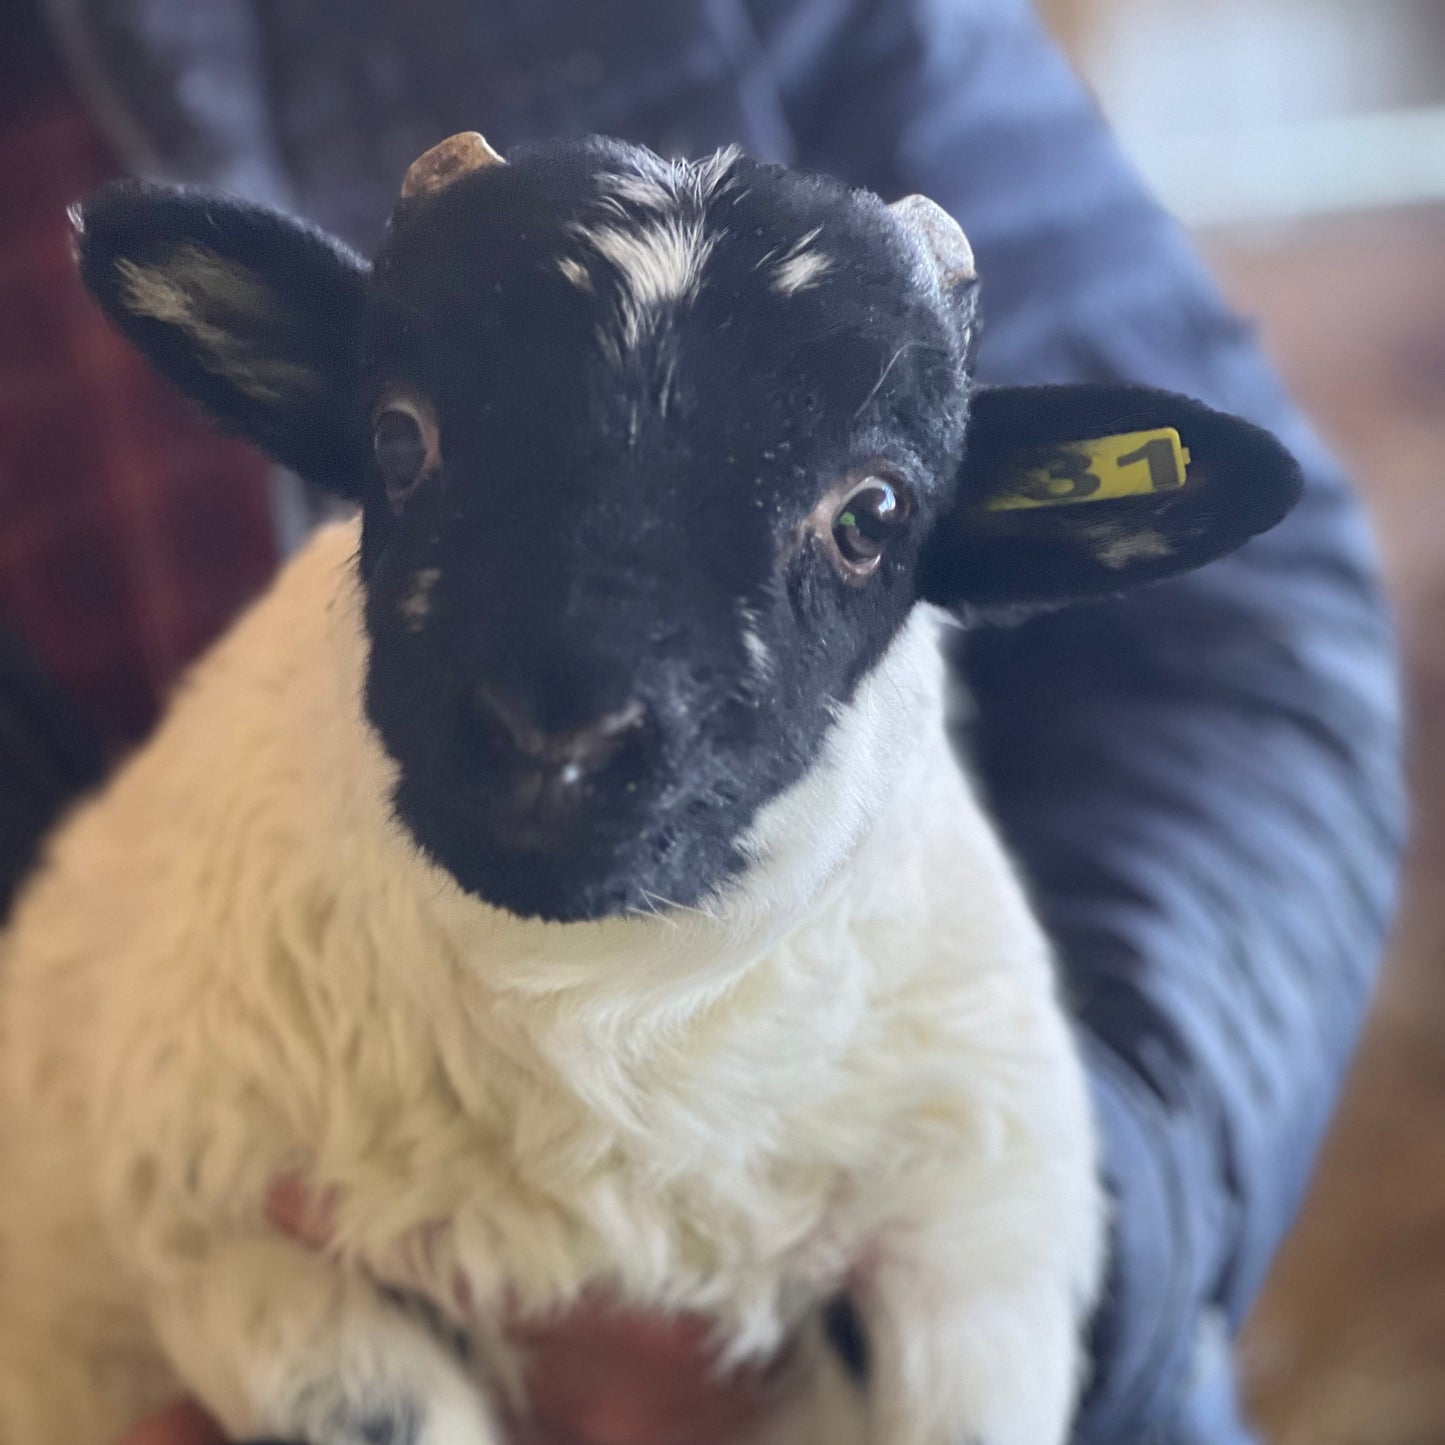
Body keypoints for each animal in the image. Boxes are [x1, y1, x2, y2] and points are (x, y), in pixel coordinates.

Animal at [0, 132, 1302, 1445]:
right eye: (399, 439)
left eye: (872, 513)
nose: (554, 736)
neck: (595, 1013)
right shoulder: (223, 1236)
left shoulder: (975, 1249)